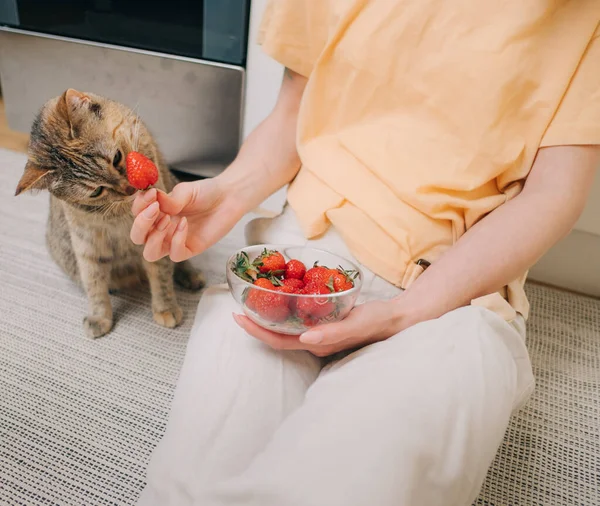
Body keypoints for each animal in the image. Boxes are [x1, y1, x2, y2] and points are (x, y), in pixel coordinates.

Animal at [14, 89, 205, 338]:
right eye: (96, 191)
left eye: (116, 158)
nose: (130, 189)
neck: (120, 216)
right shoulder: (88, 250)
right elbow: (95, 288)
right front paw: (100, 317)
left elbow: (161, 274)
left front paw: (165, 308)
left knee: (179, 260)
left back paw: (190, 276)